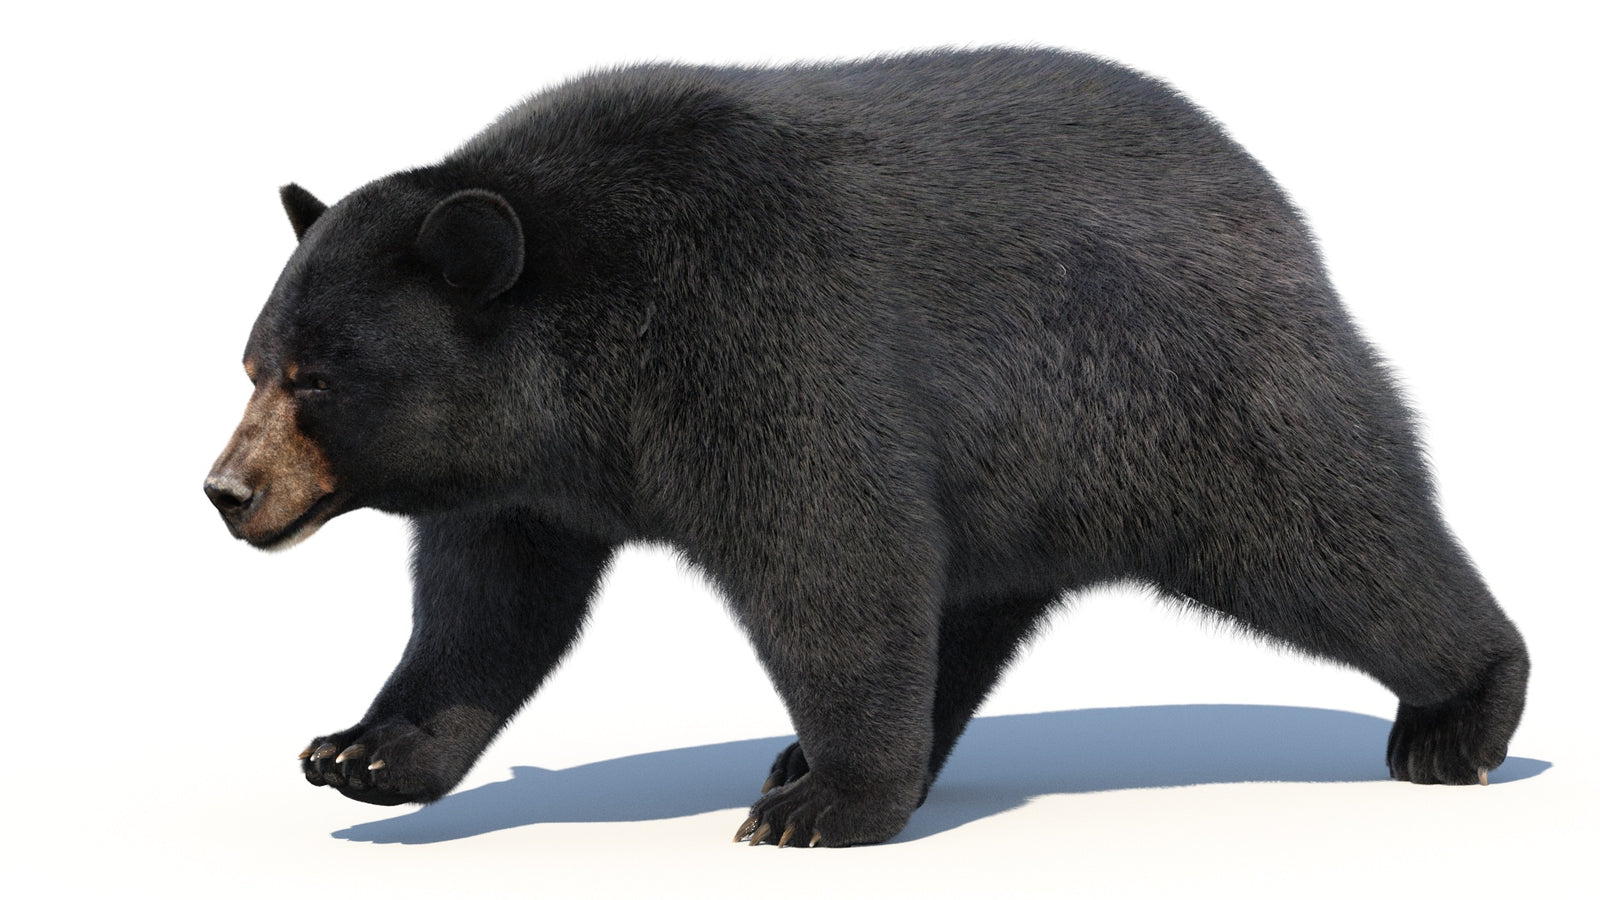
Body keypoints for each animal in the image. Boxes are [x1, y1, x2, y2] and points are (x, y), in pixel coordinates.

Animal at [204, 47, 1529, 848]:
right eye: (254, 363)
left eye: (318, 378)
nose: (227, 490)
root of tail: (1270, 198)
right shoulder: (526, 475)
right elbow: (487, 608)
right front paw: (364, 751)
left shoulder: (753, 339)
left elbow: (831, 553)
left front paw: (825, 810)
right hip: (1025, 481)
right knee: (967, 613)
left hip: (1181, 400)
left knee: (1333, 540)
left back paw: (1459, 716)